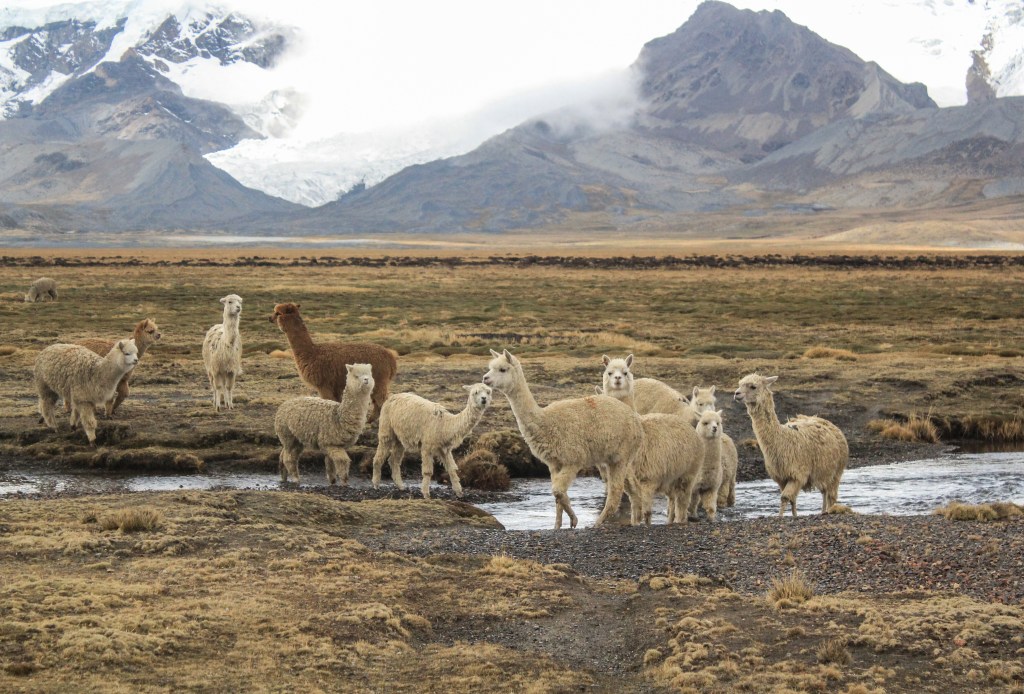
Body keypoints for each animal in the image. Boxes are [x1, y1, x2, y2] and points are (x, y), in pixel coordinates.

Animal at [269, 302, 397, 422]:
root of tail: (390, 357)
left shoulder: (323, 384)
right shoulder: (334, 386)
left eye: (278, 313)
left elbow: (328, 402)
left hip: (379, 379)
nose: (269, 318)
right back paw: (370, 420)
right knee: (377, 402)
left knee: (382, 400)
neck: (311, 353)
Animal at [484, 348, 643, 529]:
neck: (545, 420)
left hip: (621, 456)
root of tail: (634, 415)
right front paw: (558, 526)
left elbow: (558, 491)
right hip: (617, 458)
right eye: (490, 368)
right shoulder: (554, 463)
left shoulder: (573, 459)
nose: (485, 378)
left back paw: (597, 524)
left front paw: (574, 520)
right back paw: (637, 520)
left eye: (502, 369)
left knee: (615, 492)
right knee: (634, 487)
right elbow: (557, 497)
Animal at [734, 374, 847, 518]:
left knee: (831, 494)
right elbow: (791, 499)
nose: (736, 394)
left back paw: (829, 510)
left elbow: (785, 497)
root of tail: (828, 423)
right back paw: (823, 511)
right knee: (824, 491)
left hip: (837, 471)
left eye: (753, 386)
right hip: (823, 471)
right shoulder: (781, 477)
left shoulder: (798, 474)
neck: (783, 441)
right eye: (739, 384)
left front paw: (780, 517)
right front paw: (794, 516)